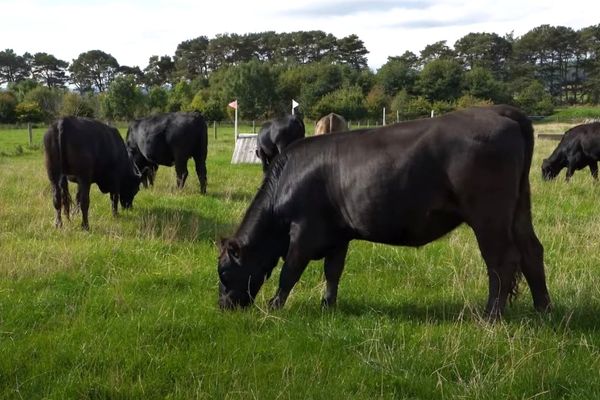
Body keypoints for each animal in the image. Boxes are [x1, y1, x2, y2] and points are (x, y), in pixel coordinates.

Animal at [218, 104, 552, 318]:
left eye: (223, 271)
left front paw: (274, 306)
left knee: (501, 260)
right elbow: (333, 271)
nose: (223, 307)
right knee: (532, 251)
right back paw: (543, 308)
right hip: (519, 209)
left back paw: (491, 315)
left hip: (488, 215)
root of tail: (499, 111)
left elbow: (290, 271)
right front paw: (328, 305)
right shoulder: (338, 234)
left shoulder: (304, 231)